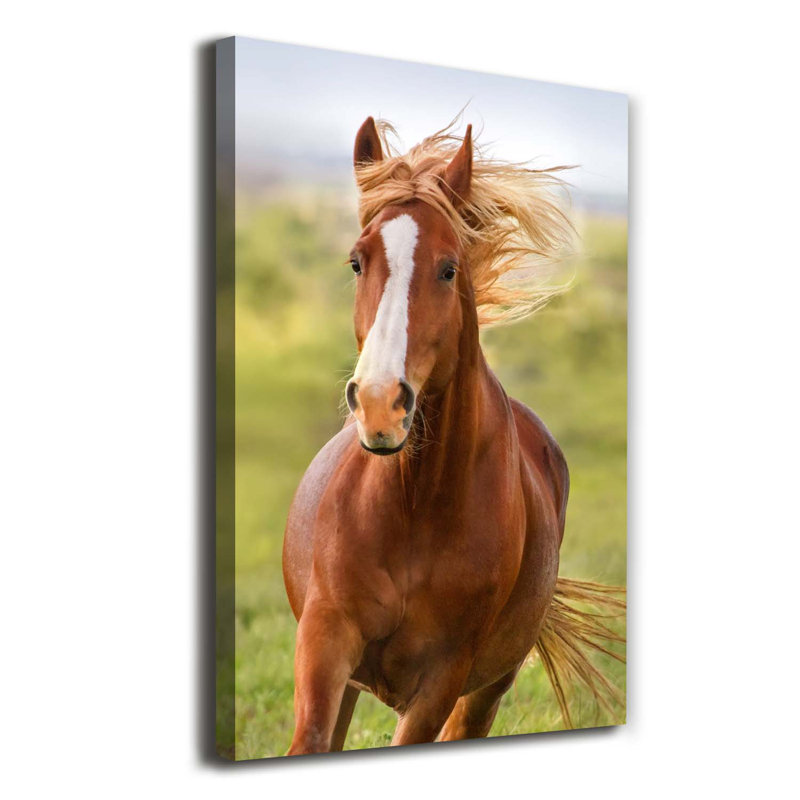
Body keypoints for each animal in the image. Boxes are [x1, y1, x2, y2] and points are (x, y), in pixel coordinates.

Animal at [282, 117, 624, 754]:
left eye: (447, 268)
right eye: (356, 262)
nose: (380, 405)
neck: (414, 505)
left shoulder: (442, 680)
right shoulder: (325, 641)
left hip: (487, 690)